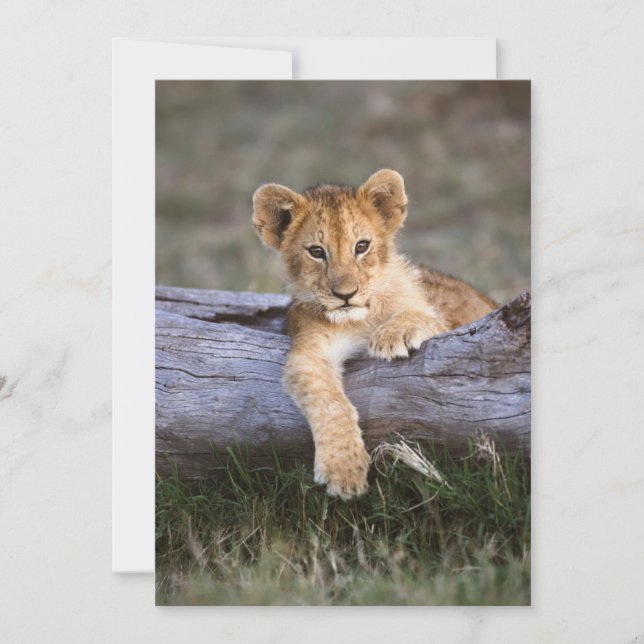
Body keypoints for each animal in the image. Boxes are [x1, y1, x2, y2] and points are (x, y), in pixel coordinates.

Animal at [252, 169, 496, 499]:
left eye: (361, 246)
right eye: (316, 252)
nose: (345, 294)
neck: (359, 320)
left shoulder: (443, 323)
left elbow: (421, 315)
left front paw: (392, 335)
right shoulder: (309, 351)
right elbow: (330, 402)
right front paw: (343, 470)